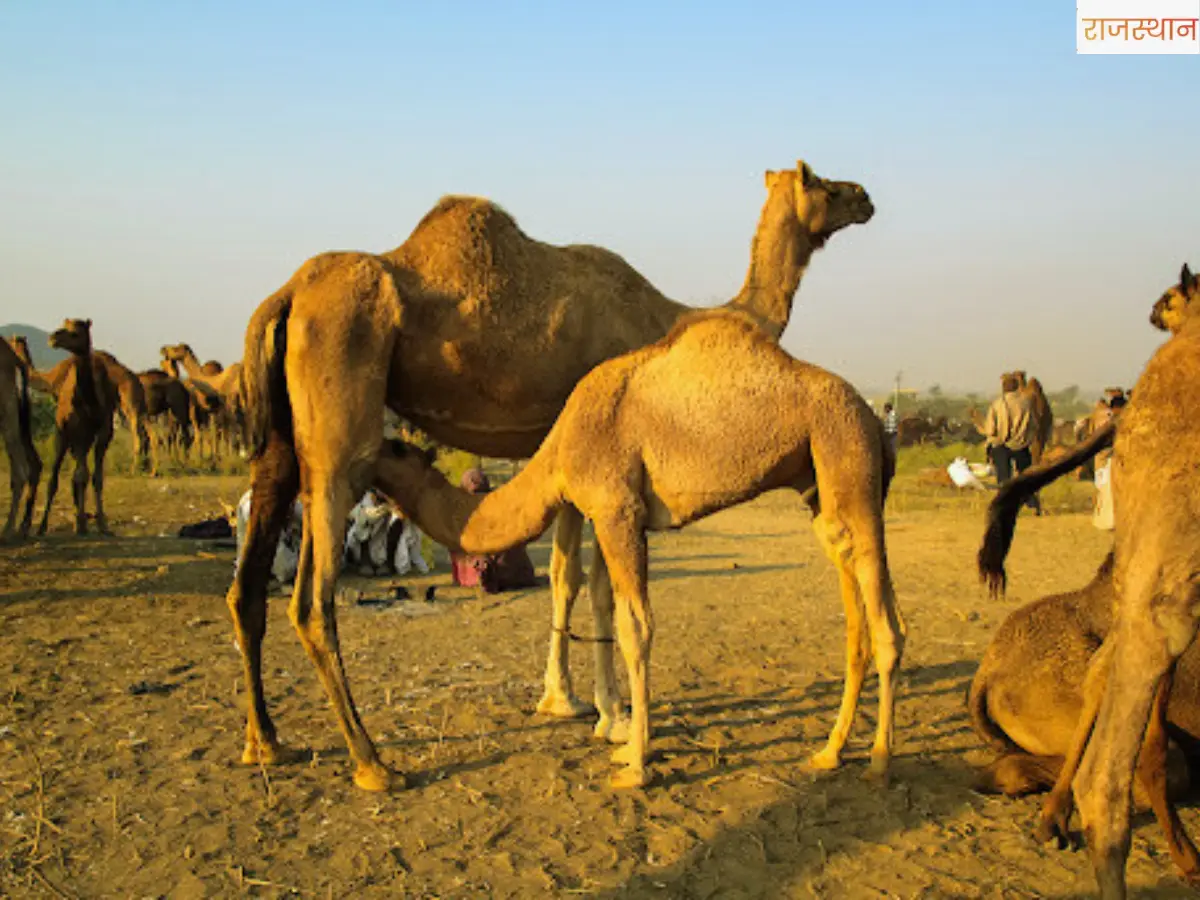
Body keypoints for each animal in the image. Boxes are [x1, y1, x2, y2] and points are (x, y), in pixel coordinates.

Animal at [24, 320, 118, 535]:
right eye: (63, 325)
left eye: (75, 333)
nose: (53, 337)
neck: (91, 401)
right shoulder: (77, 430)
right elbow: (81, 475)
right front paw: (83, 525)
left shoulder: (104, 432)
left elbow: (96, 477)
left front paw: (102, 524)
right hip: (62, 434)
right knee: (55, 477)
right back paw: (43, 526)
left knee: (76, 474)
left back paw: (78, 519)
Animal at [366, 310, 904, 789]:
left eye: (396, 449)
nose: (365, 458)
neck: (560, 446)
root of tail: (873, 419)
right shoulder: (616, 514)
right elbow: (607, 602)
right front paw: (620, 734)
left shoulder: (615, 509)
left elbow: (635, 625)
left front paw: (634, 763)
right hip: (819, 483)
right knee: (852, 595)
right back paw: (830, 752)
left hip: (847, 452)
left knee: (885, 620)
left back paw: (879, 761)